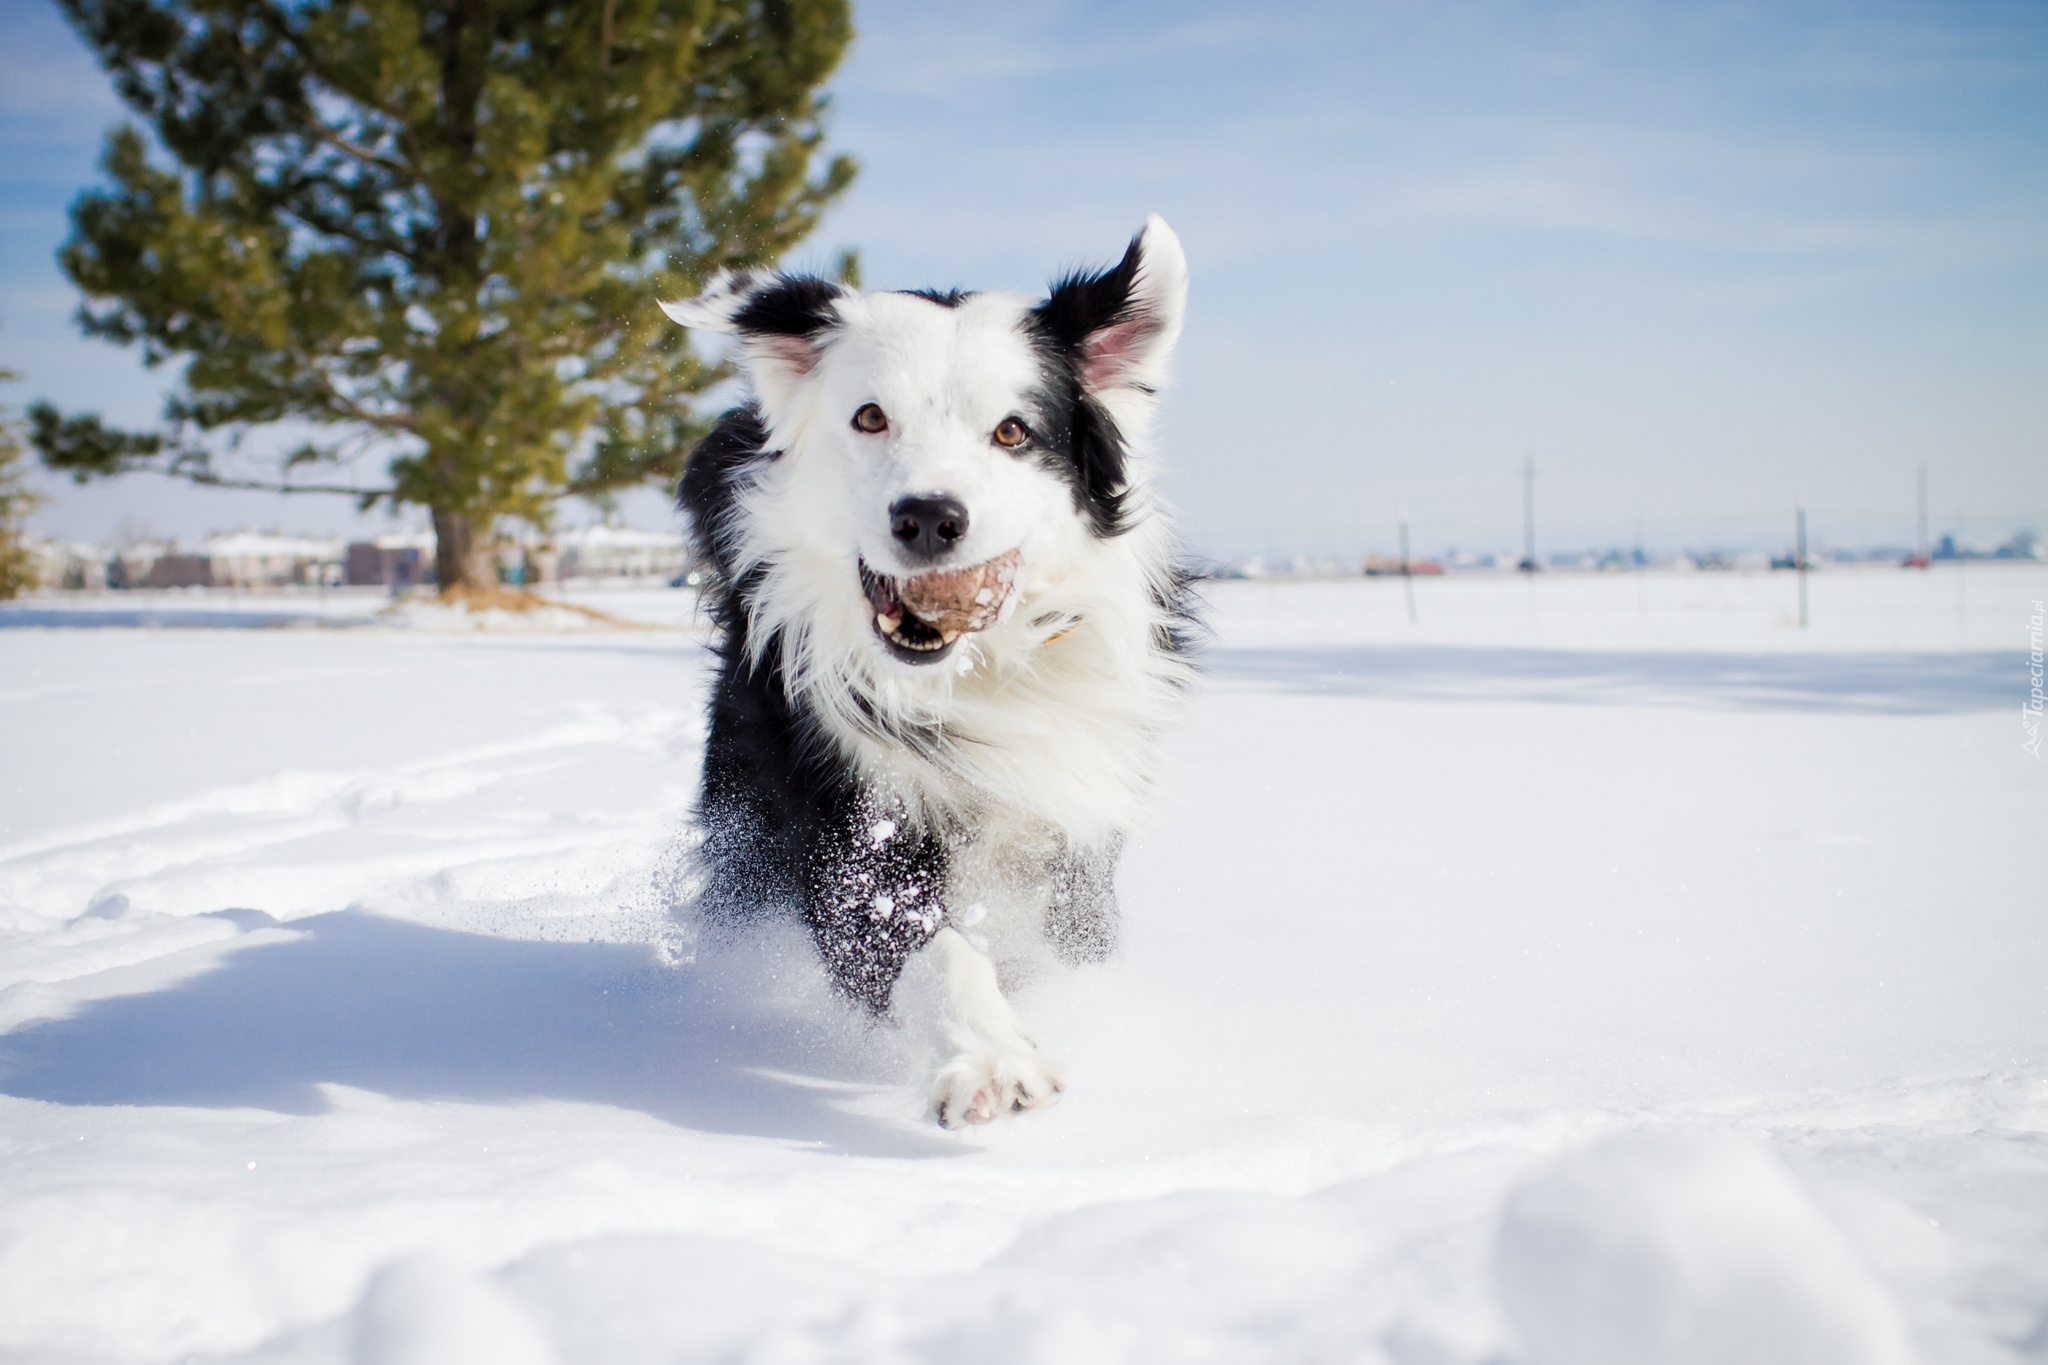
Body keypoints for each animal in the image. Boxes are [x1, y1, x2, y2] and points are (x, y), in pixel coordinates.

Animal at [663, 215, 1196, 1129]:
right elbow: (929, 946)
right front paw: (990, 1056)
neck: (973, 675)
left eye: (1013, 431)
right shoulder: (844, 821)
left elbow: (1064, 947)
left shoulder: (1074, 831)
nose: (928, 517)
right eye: (871, 417)